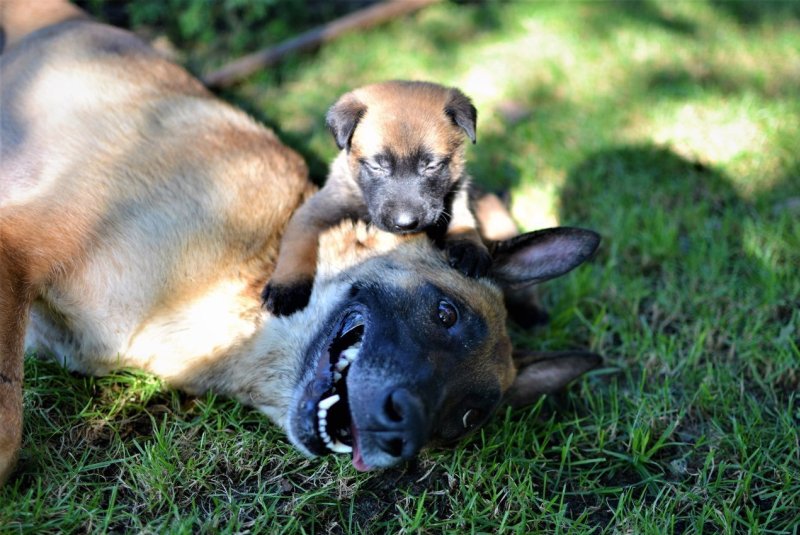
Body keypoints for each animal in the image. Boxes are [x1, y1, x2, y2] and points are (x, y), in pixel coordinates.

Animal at [264, 81, 488, 316]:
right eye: (376, 166)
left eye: (432, 166)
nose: (405, 223)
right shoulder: (315, 211)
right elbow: (297, 244)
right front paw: (287, 287)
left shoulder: (457, 190)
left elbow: (463, 217)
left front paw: (469, 245)